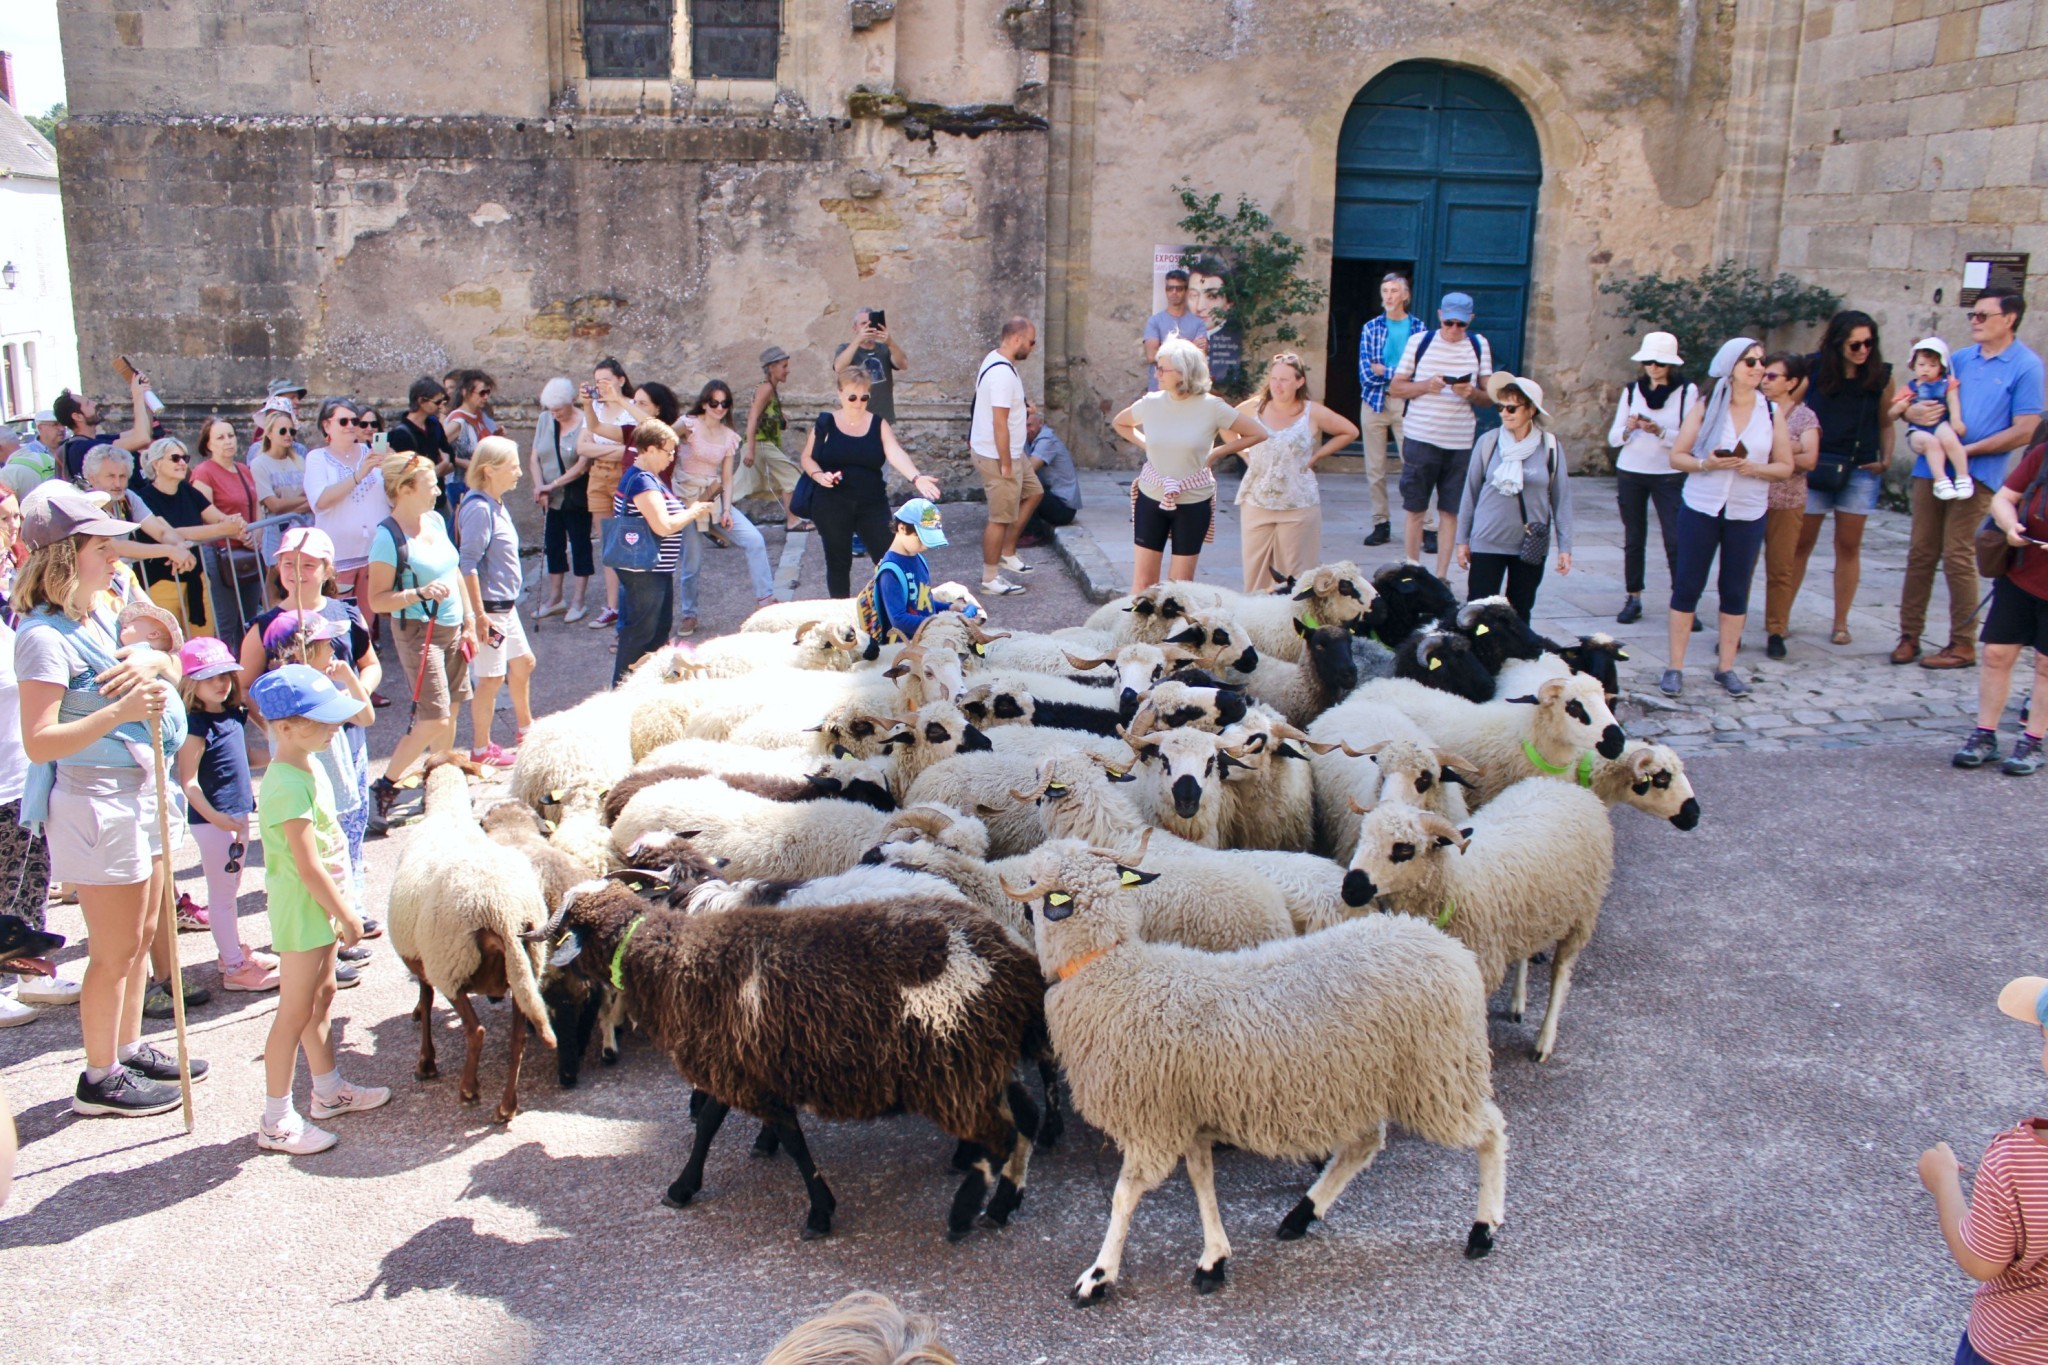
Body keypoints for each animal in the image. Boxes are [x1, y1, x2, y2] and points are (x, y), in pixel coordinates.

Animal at [1019, 843, 1507, 1301]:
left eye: (1031, 880)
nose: (1020, 908)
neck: (1111, 970)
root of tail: (1443, 943)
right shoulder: (1188, 1112)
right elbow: (1202, 1181)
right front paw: (1214, 1259)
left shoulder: (1152, 1122)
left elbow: (1124, 1197)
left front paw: (1098, 1275)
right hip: (1366, 1082)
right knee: (1364, 1145)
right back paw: (1302, 1214)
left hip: (1438, 1073)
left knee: (1491, 1131)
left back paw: (1483, 1229)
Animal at [1343, 773, 1613, 1064]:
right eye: (1363, 836)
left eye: (1404, 849)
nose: (1350, 888)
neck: (1453, 879)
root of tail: (1565, 786)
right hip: (1528, 915)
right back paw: (1518, 1002)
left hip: (1582, 914)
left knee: (1560, 973)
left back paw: (1544, 1040)